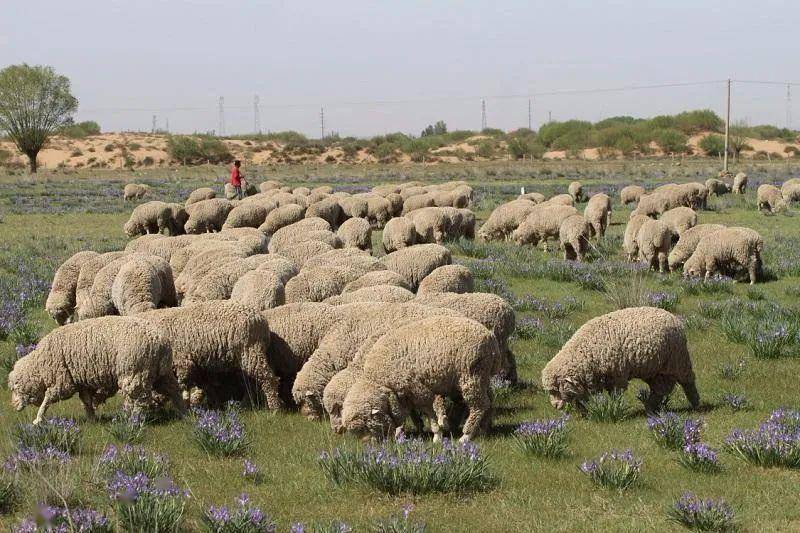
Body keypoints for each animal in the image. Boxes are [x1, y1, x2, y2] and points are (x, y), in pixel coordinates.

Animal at [8, 316, 184, 424]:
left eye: (16, 388)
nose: (13, 406)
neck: (41, 365)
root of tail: (161, 342)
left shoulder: (62, 382)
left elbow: (47, 399)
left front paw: (38, 419)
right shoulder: (81, 382)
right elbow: (86, 400)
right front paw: (92, 419)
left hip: (135, 372)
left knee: (140, 399)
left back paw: (133, 420)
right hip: (160, 372)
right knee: (174, 389)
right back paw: (185, 412)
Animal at [139, 302, 282, 410]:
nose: (154, 405)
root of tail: (261, 319)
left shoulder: (182, 362)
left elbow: (183, 387)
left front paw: (188, 406)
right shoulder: (198, 365)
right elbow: (208, 387)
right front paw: (215, 406)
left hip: (251, 352)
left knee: (268, 379)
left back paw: (274, 408)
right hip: (247, 356)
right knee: (252, 383)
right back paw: (245, 405)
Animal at [342, 316, 504, 440]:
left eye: (366, 427)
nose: (370, 444)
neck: (381, 382)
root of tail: (491, 339)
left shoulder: (418, 390)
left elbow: (429, 412)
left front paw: (437, 436)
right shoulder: (405, 393)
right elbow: (406, 414)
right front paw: (401, 434)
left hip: (471, 376)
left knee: (479, 405)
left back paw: (466, 436)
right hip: (481, 376)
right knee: (489, 402)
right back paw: (483, 430)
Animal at [536, 306, 700, 414]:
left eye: (556, 390)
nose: (555, 406)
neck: (586, 351)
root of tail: (672, 316)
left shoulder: (617, 375)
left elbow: (616, 395)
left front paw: (614, 407)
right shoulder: (588, 380)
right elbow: (581, 397)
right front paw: (583, 412)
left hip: (678, 360)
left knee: (687, 381)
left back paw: (695, 403)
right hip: (656, 369)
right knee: (660, 389)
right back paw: (650, 408)